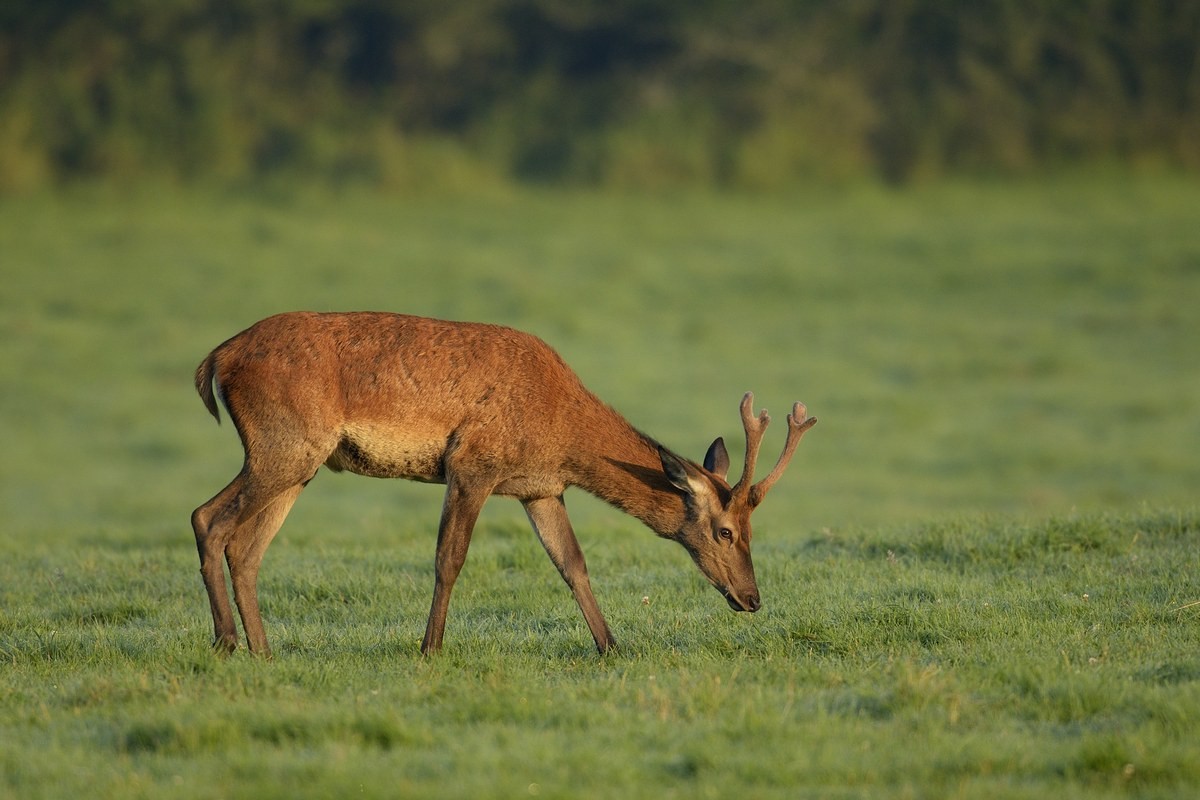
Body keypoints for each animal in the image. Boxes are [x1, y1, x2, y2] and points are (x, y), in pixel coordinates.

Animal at [192, 311, 820, 657]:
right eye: (725, 532)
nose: (752, 599)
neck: (561, 432)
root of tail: (215, 358)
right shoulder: (473, 464)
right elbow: (449, 558)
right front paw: (430, 649)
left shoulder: (540, 487)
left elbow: (573, 564)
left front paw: (612, 646)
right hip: (284, 444)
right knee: (209, 519)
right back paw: (226, 641)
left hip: (299, 463)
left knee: (246, 545)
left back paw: (264, 651)